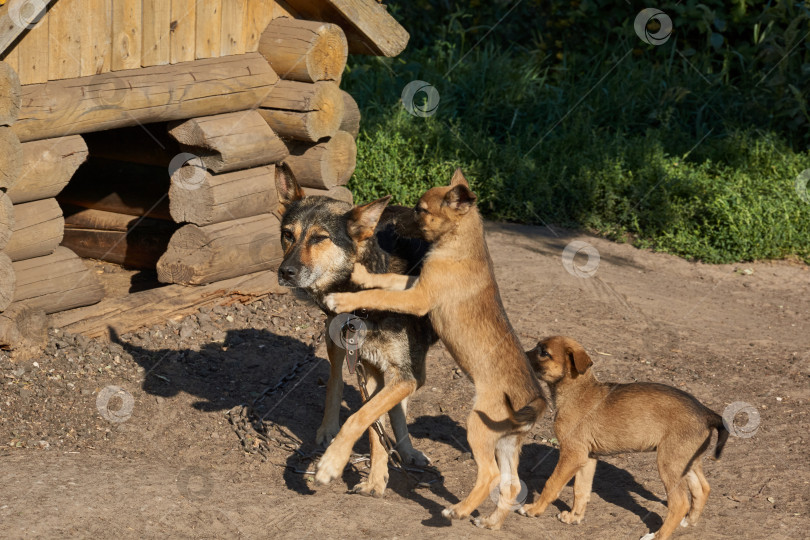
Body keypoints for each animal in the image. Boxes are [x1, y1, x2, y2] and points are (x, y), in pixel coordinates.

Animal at [326, 170, 548, 532]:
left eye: (419, 210)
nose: (392, 222)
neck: (460, 244)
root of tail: (538, 398)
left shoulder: (418, 297)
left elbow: (380, 295)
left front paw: (343, 298)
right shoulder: (413, 284)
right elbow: (387, 281)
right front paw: (362, 273)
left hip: (478, 429)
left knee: (488, 476)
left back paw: (456, 511)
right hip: (505, 444)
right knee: (511, 484)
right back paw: (491, 523)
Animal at [520, 336, 728, 536]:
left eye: (544, 352)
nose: (520, 354)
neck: (576, 391)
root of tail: (706, 412)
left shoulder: (573, 454)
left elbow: (551, 484)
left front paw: (534, 509)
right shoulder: (587, 457)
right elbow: (581, 490)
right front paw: (574, 517)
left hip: (669, 463)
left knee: (680, 503)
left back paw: (658, 535)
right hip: (686, 461)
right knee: (703, 489)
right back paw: (689, 521)